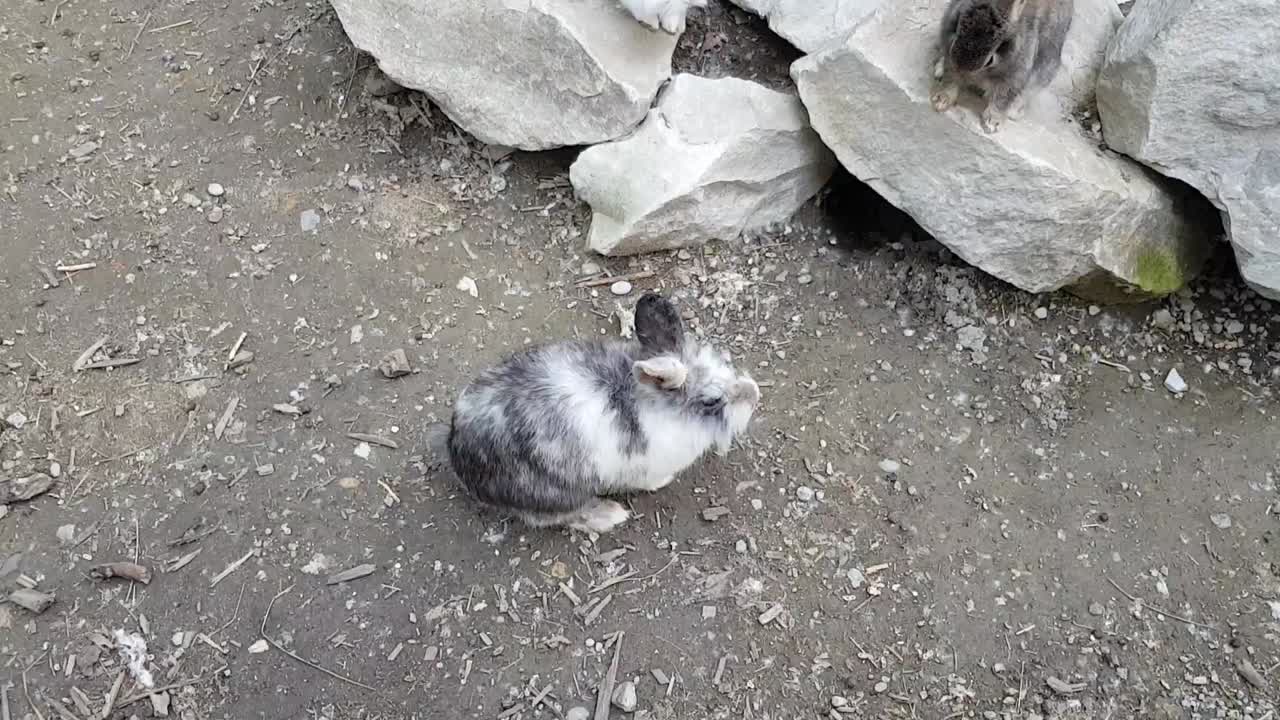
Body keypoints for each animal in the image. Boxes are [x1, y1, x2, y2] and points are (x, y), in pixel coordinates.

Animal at [430, 292, 760, 534]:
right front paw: (663, 483)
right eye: (712, 401)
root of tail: (458, 450)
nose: (754, 394)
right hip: (555, 494)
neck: (651, 403)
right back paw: (610, 514)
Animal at [930, 0, 1074, 133]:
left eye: (990, 60)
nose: (964, 72)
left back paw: (1014, 112)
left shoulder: (1015, 73)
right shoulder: (950, 55)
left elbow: (1003, 97)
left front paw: (992, 123)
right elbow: (951, 80)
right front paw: (941, 101)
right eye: (958, 30)